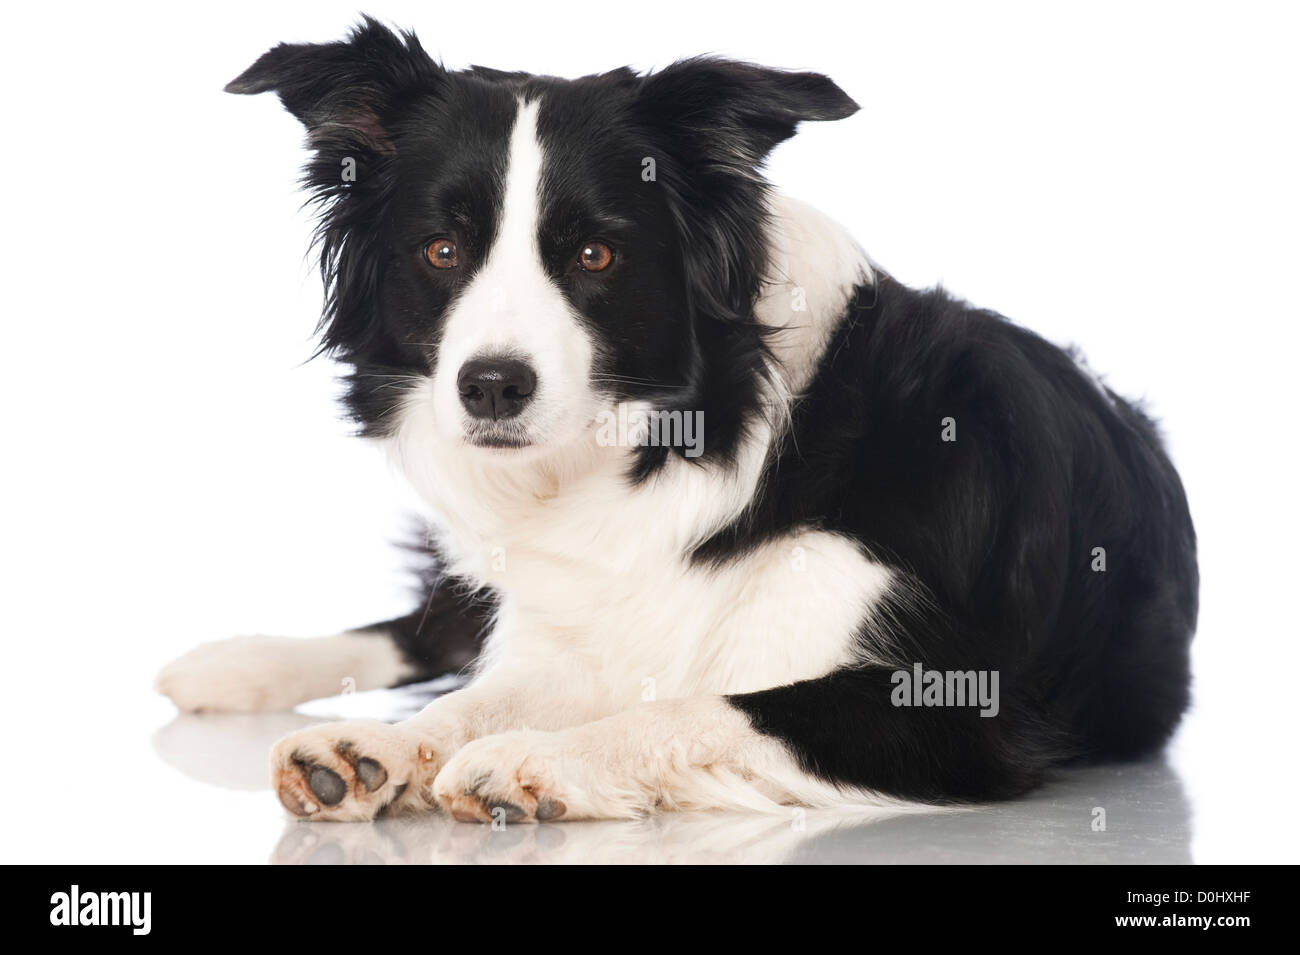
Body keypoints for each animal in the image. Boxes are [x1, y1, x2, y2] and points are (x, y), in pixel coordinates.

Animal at [159, 18, 1196, 826]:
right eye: (442, 250)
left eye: (596, 254)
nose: (491, 387)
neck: (689, 442)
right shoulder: (584, 624)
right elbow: (480, 697)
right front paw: (386, 747)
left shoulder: (956, 706)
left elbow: (707, 707)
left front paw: (537, 762)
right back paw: (233, 667)